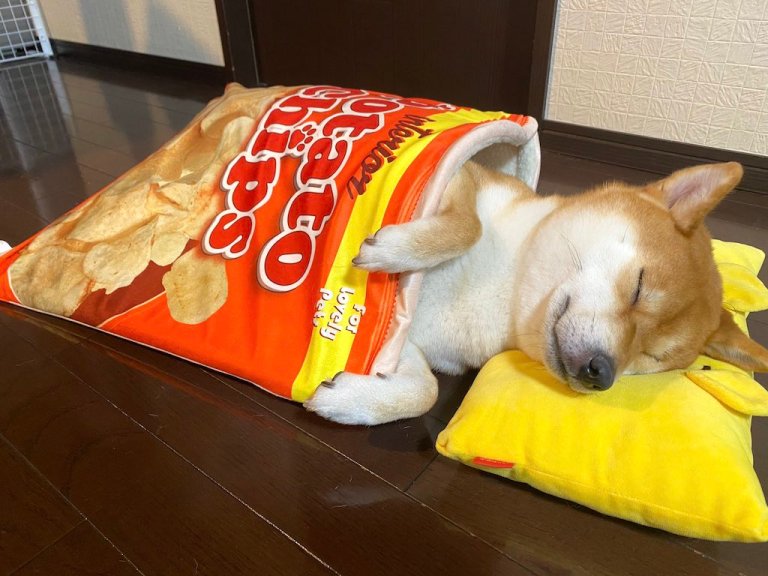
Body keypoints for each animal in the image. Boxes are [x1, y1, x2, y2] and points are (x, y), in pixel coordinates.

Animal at [308, 161, 768, 424]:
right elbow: (469, 225)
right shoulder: (460, 173)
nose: (601, 373)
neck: (507, 292)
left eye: (651, 358)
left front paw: (350, 399)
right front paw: (392, 250)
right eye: (638, 287)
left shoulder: (408, 341)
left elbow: (425, 392)